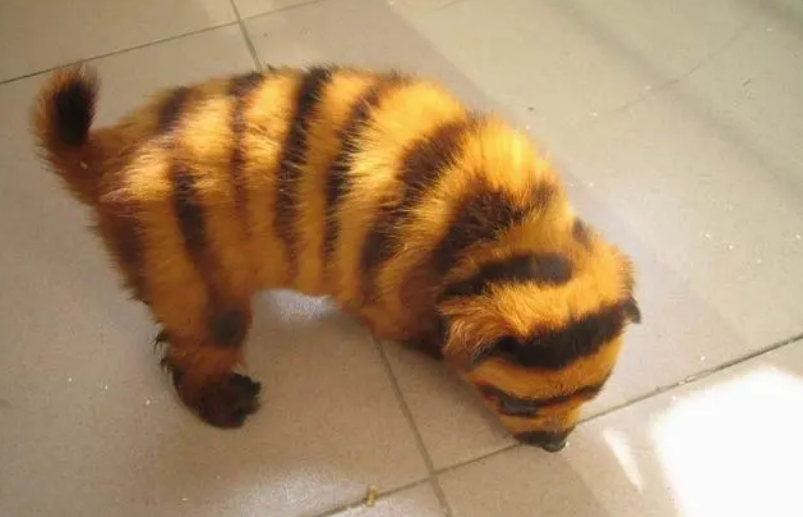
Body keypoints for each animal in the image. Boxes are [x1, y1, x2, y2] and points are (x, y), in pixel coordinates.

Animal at [32, 63, 640, 453]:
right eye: (515, 404)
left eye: (595, 392)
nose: (555, 446)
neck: (503, 231)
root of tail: (111, 157)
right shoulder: (393, 296)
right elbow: (417, 330)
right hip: (201, 289)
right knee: (192, 360)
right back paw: (223, 402)